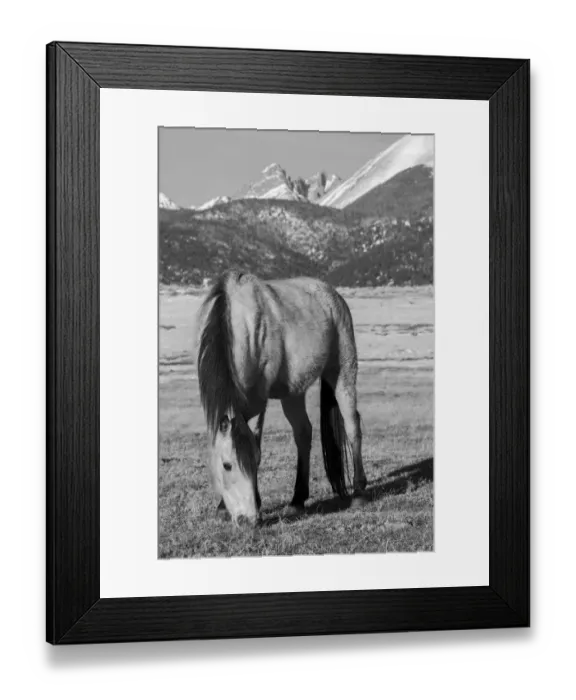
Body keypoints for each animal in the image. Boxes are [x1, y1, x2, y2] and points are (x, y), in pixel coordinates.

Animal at [195, 270, 368, 526]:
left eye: (254, 462)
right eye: (226, 465)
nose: (248, 520)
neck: (238, 322)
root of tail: (334, 296)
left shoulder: (259, 399)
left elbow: (256, 440)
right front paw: (223, 507)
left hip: (343, 372)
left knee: (352, 425)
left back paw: (358, 493)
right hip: (293, 393)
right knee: (303, 432)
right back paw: (297, 500)